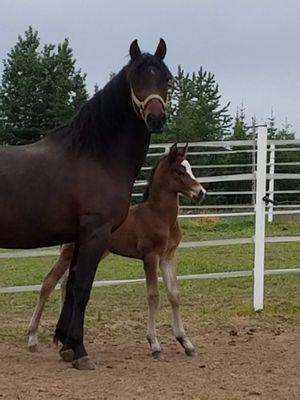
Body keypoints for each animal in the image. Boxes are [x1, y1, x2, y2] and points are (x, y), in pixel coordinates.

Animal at [0, 39, 172, 370]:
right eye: (135, 79)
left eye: (167, 79)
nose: (155, 118)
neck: (95, 155)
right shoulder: (96, 232)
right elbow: (82, 289)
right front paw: (80, 351)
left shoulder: (79, 237)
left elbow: (70, 287)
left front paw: (66, 345)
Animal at [27, 145, 206, 358]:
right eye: (180, 171)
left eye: (190, 168)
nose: (201, 192)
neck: (158, 216)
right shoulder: (150, 256)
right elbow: (153, 295)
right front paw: (154, 344)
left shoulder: (168, 257)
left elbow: (174, 295)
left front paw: (185, 342)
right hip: (68, 252)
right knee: (49, 282)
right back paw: (32, 338)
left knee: (64, 284)